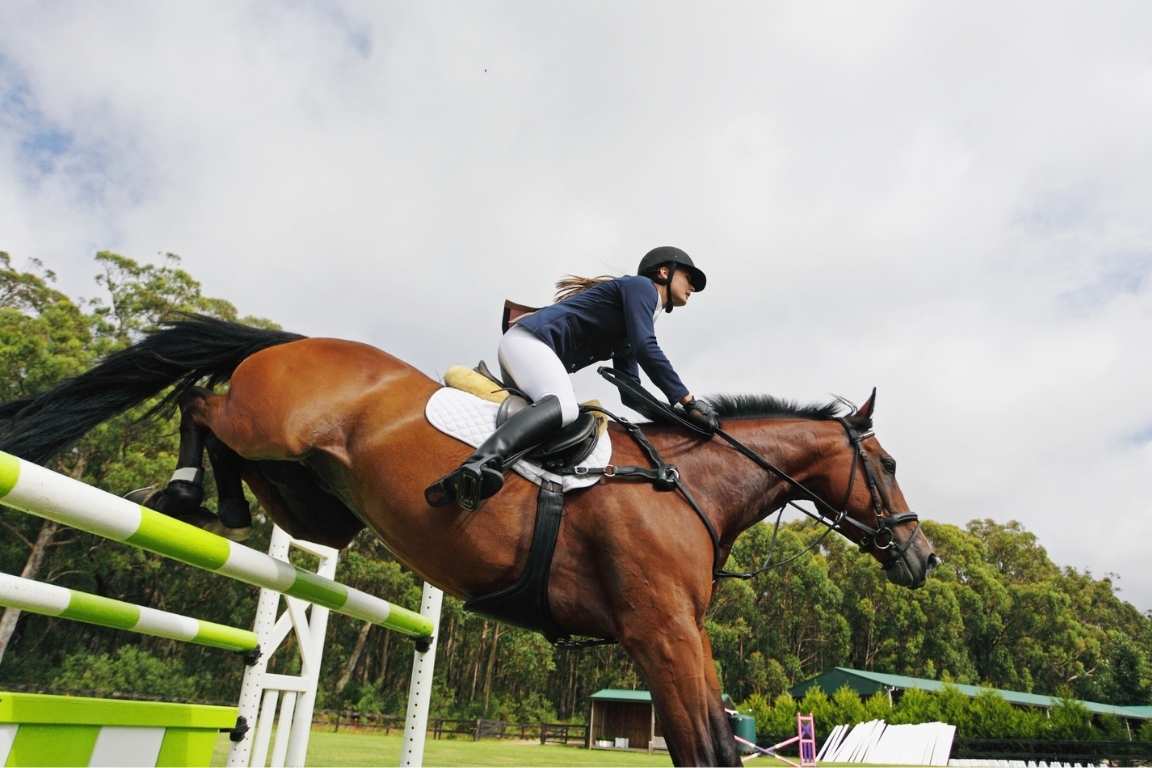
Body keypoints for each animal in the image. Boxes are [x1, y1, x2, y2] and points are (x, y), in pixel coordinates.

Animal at [0, 315, 938, 767]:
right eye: (888, 463)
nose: (923, 559)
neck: (688, 485)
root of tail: (296, 341)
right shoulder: (661, 632)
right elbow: (704, 748)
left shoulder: (676, 636)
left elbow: (708, 741)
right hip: (268, 423)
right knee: (200, 398)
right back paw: (184, 486)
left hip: (315, 502)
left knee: (245, 472)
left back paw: (212, 503)